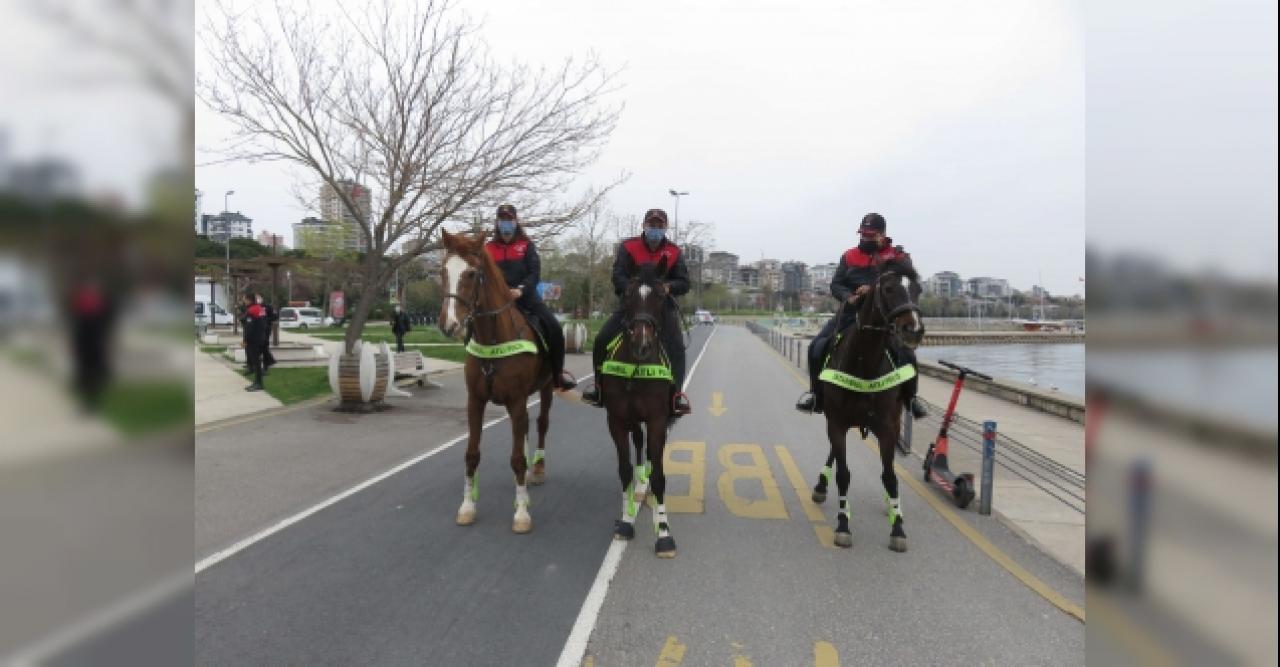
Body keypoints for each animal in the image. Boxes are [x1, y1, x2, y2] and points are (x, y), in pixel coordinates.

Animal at [440, 231, 555, 532]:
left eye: (471, 273)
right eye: (442, 271)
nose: (449, 325)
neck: (493, 337)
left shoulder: (516, 400)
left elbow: (517, 459)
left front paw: (522, 513)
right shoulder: (475, 402)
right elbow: (471, 454)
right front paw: (467, 506)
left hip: (547, 388)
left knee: (540, 424)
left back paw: (537, 470)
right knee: (525, 429)